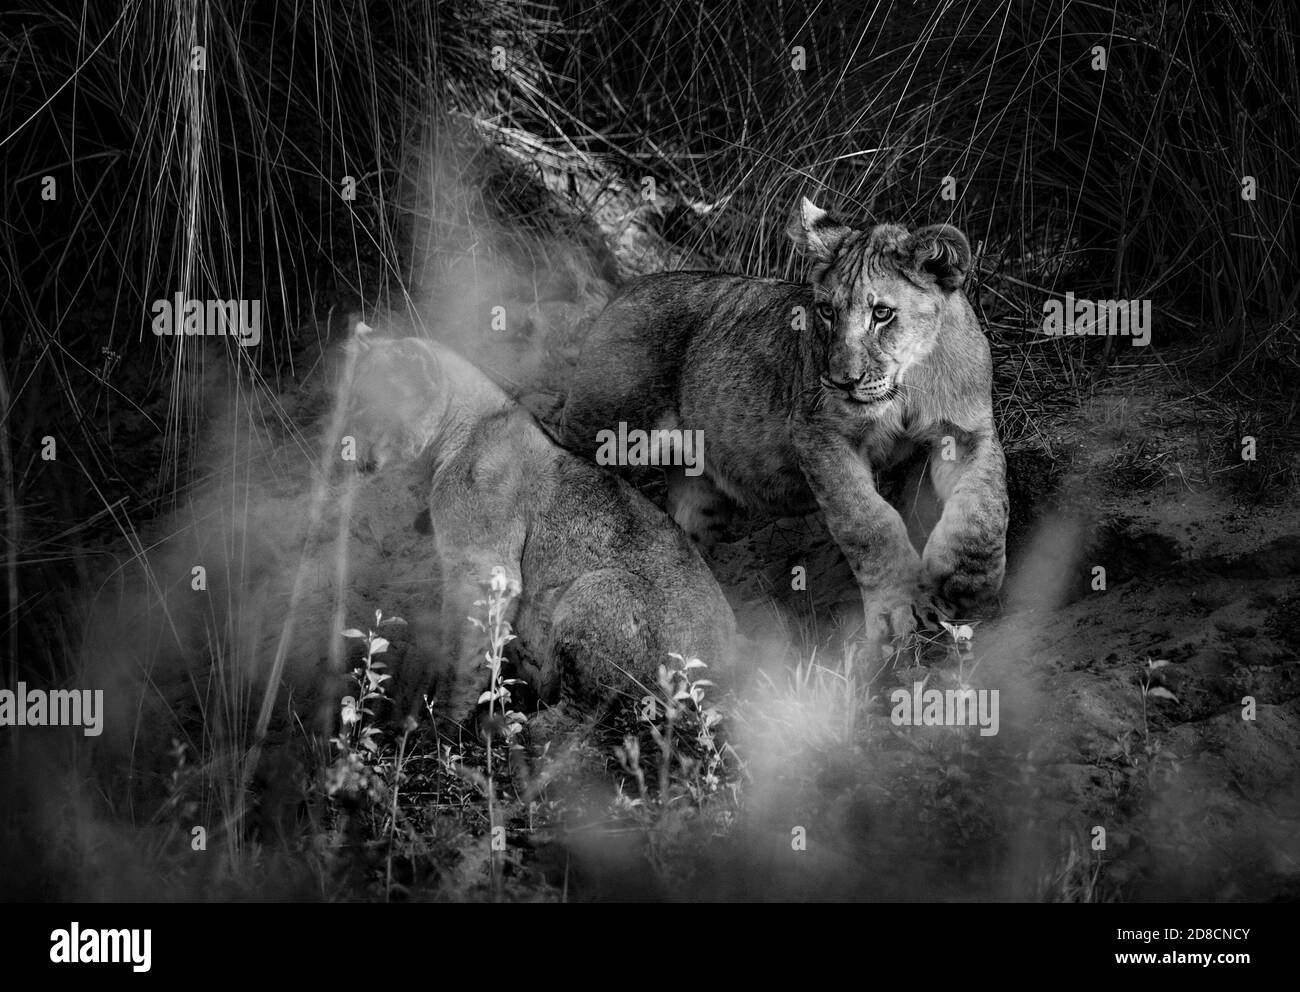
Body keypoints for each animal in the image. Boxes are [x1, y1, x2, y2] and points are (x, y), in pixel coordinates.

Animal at [340, 325, 736, 722]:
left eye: (370, 407)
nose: (350, 456)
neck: (458, 433)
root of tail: (727, 673)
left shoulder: (483, 568)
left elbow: (462, 658)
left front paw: (442, 725)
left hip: (603, 589)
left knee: (580, 717)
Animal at [558, 197, 1009, 652]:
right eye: (826, 312)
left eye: (882, 313)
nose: (841, 381)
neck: (908, 383)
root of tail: (626, 289)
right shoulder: (819, 435)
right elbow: (868, 521)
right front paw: (899, 609)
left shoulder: (967, 431)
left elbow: (983, 507)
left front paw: (964, 586)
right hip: (604, 433)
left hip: (697, 486)